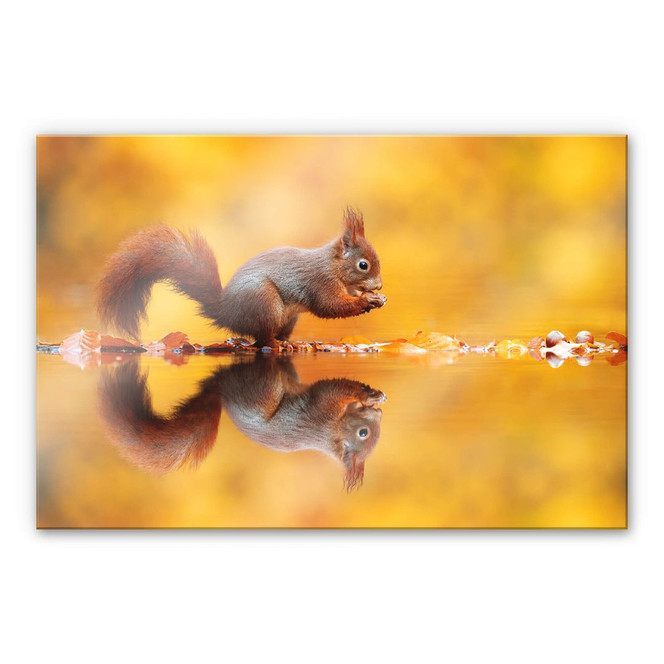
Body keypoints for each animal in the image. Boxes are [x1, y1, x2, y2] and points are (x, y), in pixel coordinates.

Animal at [96, 207, 386, 346]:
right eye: (363, 265)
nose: (380, 285)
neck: (332, 265)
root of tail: (226, 312)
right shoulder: (319, 281)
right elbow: (330, 306)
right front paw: (366, 301)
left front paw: (374, 297)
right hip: (264, 302)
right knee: (261, 339)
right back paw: (278, 344)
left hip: (288, 318)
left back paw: (294, 342)